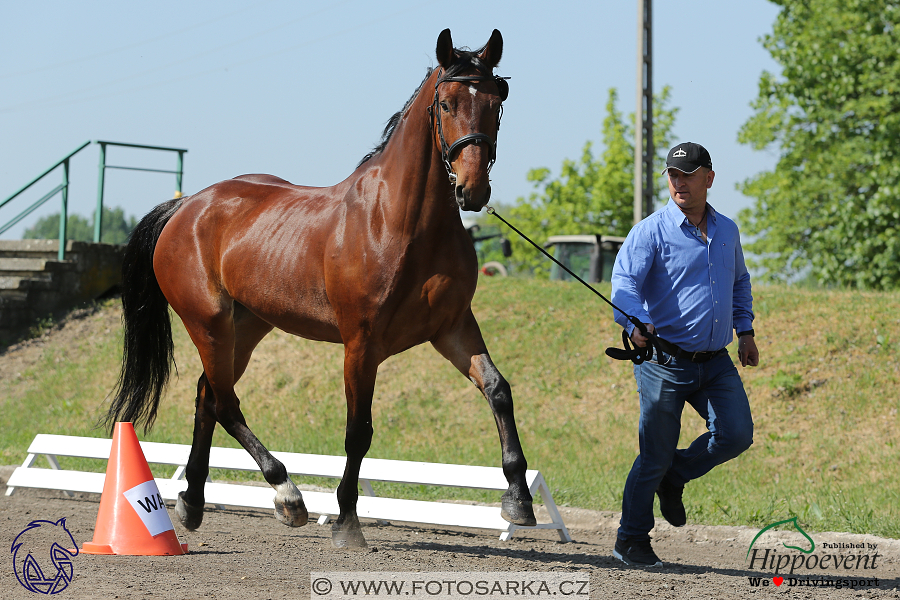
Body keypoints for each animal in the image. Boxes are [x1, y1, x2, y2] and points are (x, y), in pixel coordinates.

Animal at [109, 30, 536, 552]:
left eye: (497, 102)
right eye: (447, 103)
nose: (472, 191)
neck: (402, 222)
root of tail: (188, 205)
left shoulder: (452, 328)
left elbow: (498, 390)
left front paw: (518, 498)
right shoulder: (361, 345)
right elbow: (358, 432)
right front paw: (347, 522)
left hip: (246, 328)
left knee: (208, 395)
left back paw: (193, 502)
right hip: (207, 323)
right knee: (225, 402)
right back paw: (286, 494)